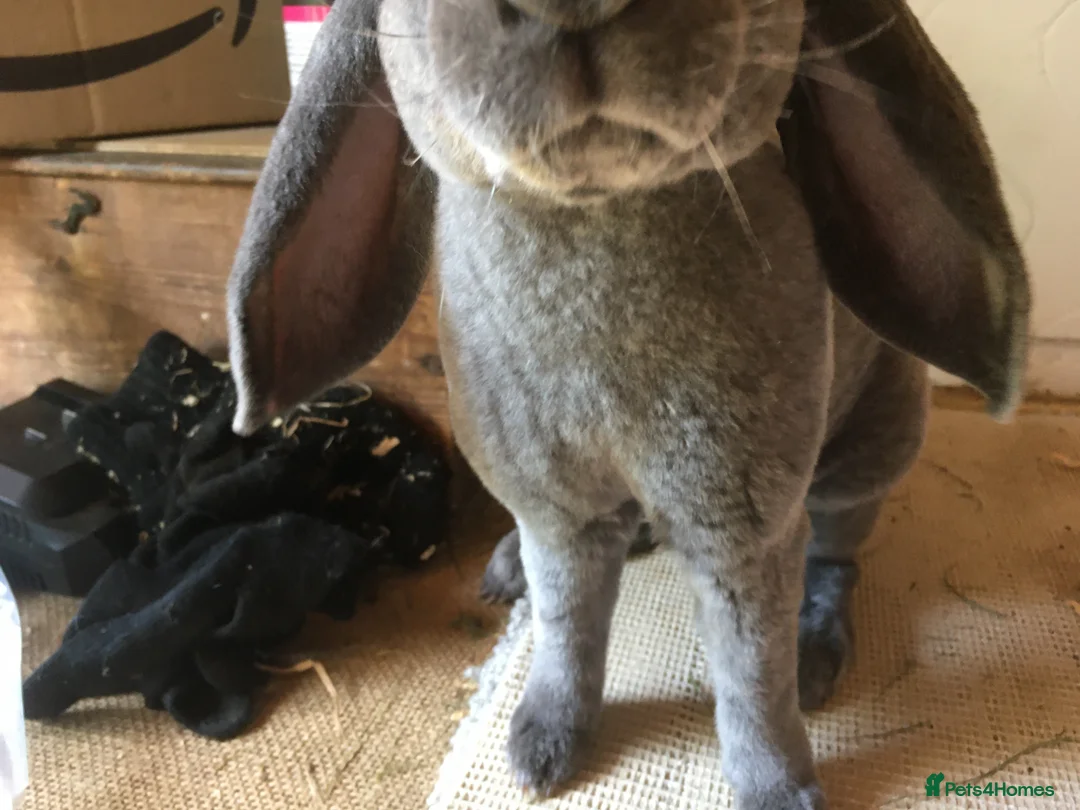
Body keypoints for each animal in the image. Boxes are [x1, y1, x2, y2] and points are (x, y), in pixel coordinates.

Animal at [224, 0, 1031, 807]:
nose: (568, 9)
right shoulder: (555, 509)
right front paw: (542, 747)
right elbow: (566, 629)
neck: (595, 215)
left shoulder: (741, 528)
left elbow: (752, 674)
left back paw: (816, 654)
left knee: (835, 557)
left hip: (871, 448)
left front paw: (778, 787)